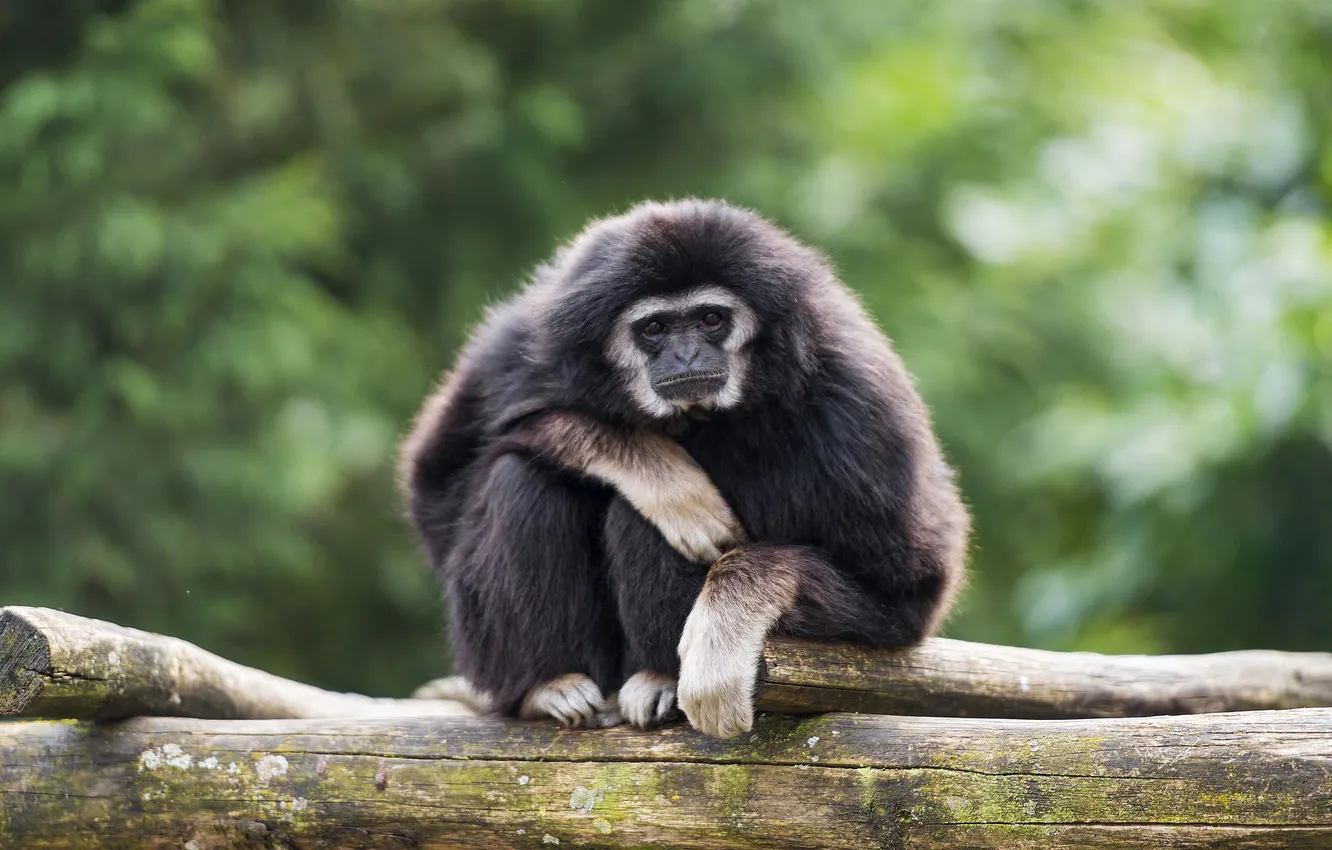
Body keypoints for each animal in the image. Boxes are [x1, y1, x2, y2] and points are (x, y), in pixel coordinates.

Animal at [399, 198, 970, 738]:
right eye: (654, 328)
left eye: (710, 319)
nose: (687, 354)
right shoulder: (516, 344)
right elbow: (439, 487)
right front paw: (665, 478)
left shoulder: (856, 401)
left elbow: (903, 595)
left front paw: (728, 617)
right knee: (521, 478)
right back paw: (547, 684)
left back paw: (657, 678)